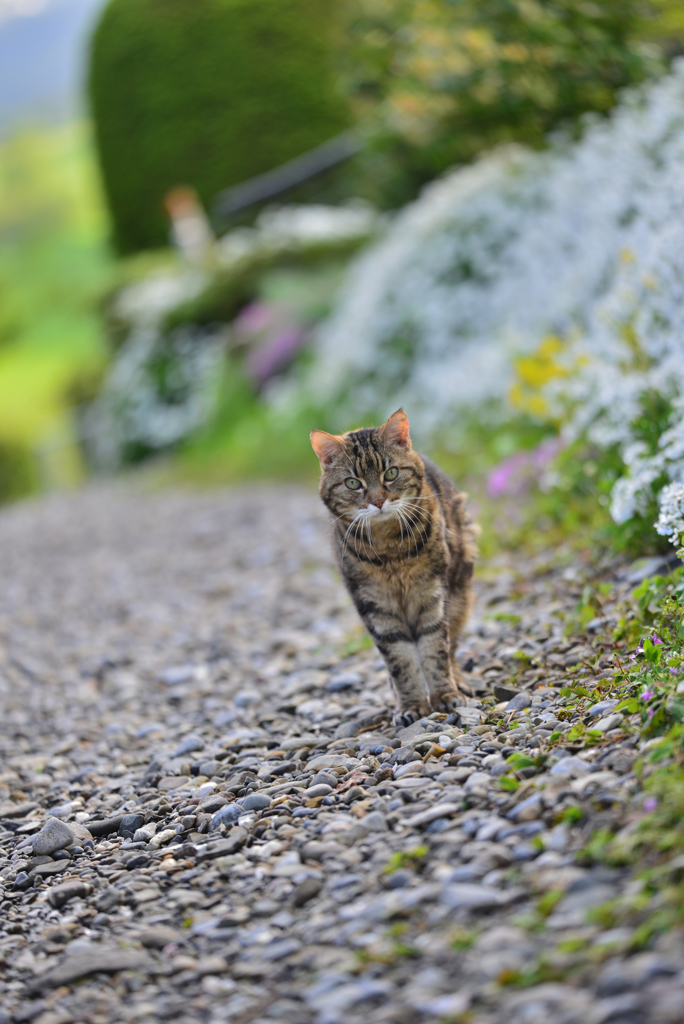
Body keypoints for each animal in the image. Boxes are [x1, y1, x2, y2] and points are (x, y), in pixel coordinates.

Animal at [313, 407, 479, 729]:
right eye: (352, 483)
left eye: (390, 473)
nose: (378, 501)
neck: (389, 550)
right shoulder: (375, 607)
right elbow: (401, 661)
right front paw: (411, 705)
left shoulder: (431, 595)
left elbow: (435, 650)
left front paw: (444, 695)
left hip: (459, 596)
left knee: (452, 646)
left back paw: (460, 683)